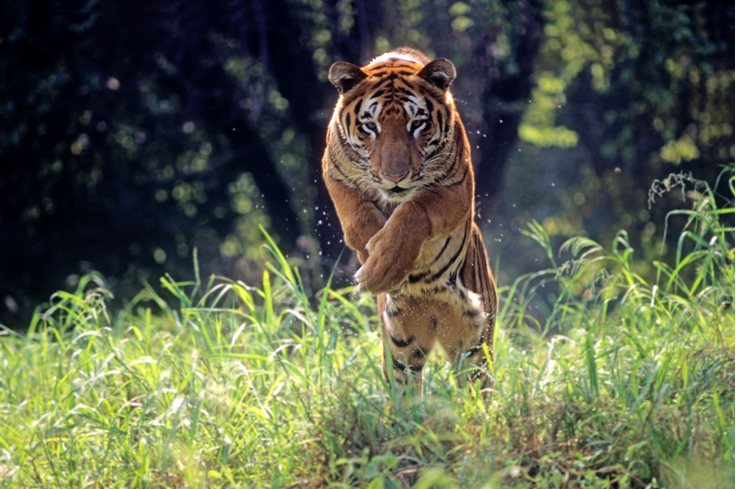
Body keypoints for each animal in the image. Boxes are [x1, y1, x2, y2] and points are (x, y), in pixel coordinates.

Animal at [321, 47, 497, 393]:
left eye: (418, 123)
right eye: (370, 126)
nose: (395, 177)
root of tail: (432, 307)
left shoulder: (455, 188)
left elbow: (414, 211)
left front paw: (383, 266)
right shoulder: (333, 171)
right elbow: (357, 215)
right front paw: (371, 262)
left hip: (474, 342)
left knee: (474, 385)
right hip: (403, 342)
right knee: (405, 387)